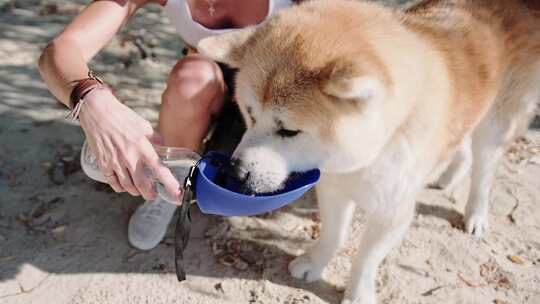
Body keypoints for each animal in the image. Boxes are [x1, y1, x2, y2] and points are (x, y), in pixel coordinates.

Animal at [197, 1, 540, 302]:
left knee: (484, 168)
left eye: (289, 131)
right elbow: (332, 235)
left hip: (495, 125)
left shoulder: (392, 211)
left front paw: (358, 294)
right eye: (249, 114)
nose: (236, 171)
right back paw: (448, 177)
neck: (373, 151)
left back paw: (476, 214)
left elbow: (367, 259)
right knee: (463, 147)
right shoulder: (333, 188)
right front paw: (315, 263)